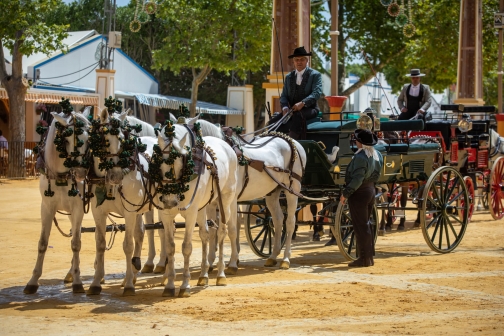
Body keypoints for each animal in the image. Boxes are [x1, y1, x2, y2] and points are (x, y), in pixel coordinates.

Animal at [24, 108, 92, 294]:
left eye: (89, 139)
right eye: (66, 139)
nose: (81, 173)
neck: (62, 174)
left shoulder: (78, 208)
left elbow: (76, 243)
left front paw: (78, 282)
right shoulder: (47, 207)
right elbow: (42, 243)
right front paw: (33, 281)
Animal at [84, 109, 159, 296]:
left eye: (123, 141)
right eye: (104, 139)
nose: (116, 176)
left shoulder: (129, 212)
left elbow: (128, 245)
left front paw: (129, 286)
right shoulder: (98, 212)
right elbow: (100, 244)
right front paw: (95, 283)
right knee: (141, 233)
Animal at [157, 121, 237, 296]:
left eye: (180, 163)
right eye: (158, 161)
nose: (170, 200)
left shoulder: (191, 212)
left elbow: (186, 247)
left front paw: (185, 285)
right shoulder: (166, 214)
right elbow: (170, 247)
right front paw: (170, 285)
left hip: (225, 200)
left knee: (222, 232)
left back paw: (221, 274)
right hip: (203, 207)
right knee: (205, 234)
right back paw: (203, 275)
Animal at [183, 117, 306, 272]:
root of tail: (295, 143)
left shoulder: (232, 200)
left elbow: (232, 228)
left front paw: (232, 263)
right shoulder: (213, 202)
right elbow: (213, 230)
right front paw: (211, 263)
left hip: (292, 189)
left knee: (289, 222)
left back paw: (285, 259)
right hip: (272, 192)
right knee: (278, 220)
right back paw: (273, 256)